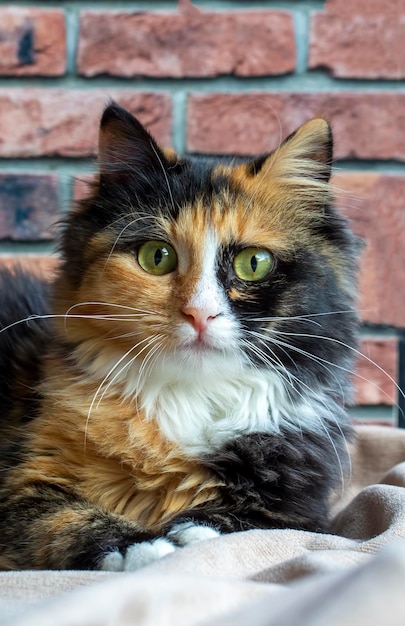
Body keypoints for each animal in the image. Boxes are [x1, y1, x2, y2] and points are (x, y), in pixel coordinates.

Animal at [0, 102, 358, 572]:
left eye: (254, 263)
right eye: (157, 257)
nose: (199, 313)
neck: (187, 396)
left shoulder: (301, 507)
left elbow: (239, 521)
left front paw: (190, 534)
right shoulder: (24, 479)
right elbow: (67, 520)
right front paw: (143, 546)